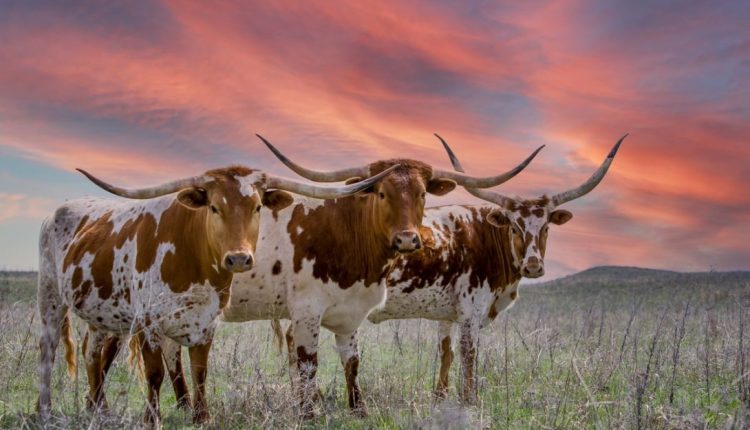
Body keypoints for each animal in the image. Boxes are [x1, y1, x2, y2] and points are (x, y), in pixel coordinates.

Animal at [37, 162, 396, 426]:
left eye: (257, 207)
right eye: (213, 206)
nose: (238, 258)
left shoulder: (207, 322)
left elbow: (200, 370)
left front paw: (201, 417)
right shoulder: (148, 321)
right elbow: (154, 374)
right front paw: (152, 420)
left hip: (103, 315)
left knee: (92, 353)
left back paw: (99, 409)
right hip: (51, 299)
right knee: (48, 351)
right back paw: (45, 410)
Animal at [107, 136, 548, 418]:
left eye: (423, 194)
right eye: (381, 193)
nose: (409, 239)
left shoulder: (350, 312)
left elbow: (352, 362)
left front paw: (358, 409)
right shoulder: (305, 312)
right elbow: (307, 364)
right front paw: (309, 412)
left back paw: (183, 405)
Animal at [364, 134, 628, 404]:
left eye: (546, 228)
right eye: (514, 227)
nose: (533, 266)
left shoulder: (447, 315)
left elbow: (446, 353)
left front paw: (440, 398)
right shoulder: (471, 312)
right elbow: (468, 356)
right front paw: (469, 400)